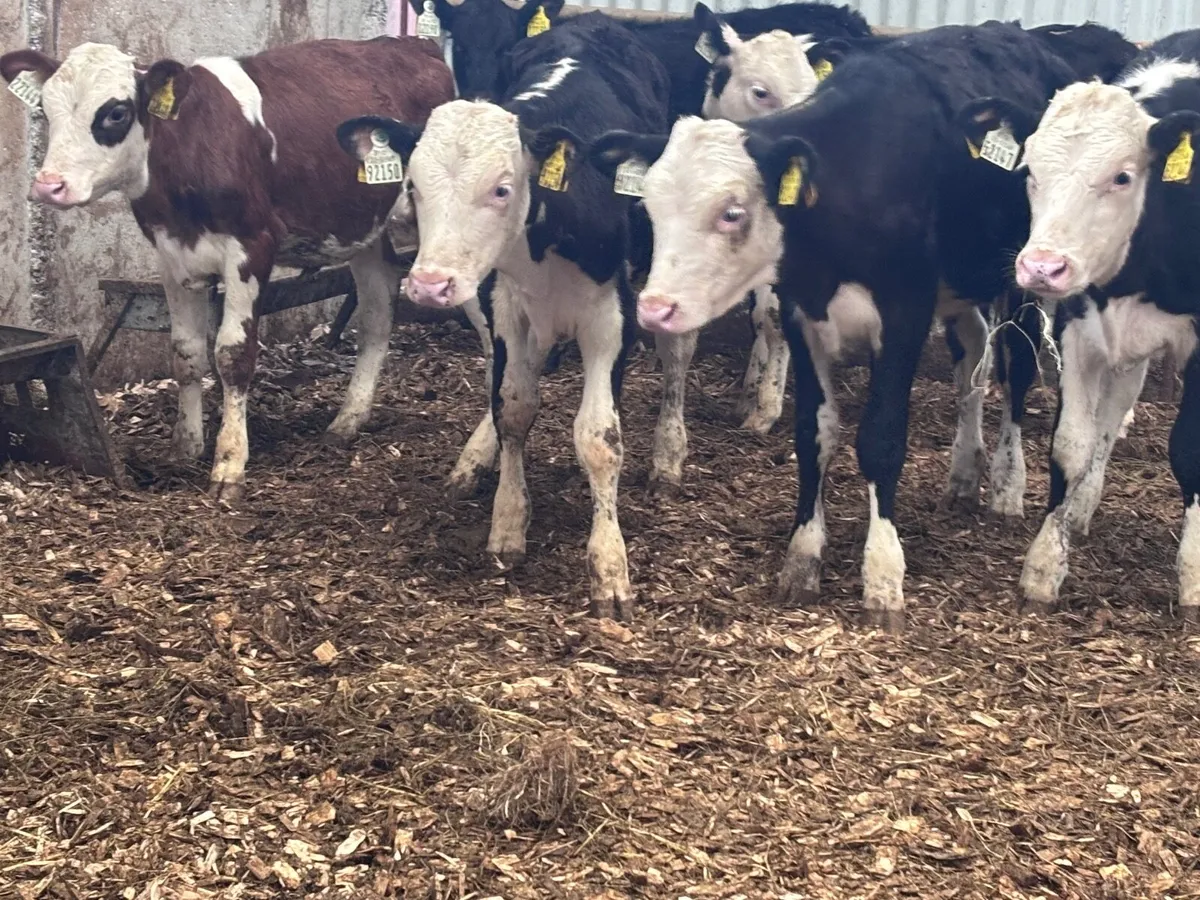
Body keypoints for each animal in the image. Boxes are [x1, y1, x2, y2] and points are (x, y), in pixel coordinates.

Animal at [0, 38, 490, 503]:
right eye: (46, 108)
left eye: (116, 112)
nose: (49, 186)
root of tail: (414, 45)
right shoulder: (171, 256)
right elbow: (185, 353)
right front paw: (186, 445)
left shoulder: (250, 249)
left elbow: (232, 355)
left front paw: (229, 463)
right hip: (365, 229)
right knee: (377, 312)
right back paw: (348, 420)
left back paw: (476, 458)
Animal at [338, 13, 671, 619]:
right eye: (412, 185)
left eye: (501, 188)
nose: (429, 284)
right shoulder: (504, 304)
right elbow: (512, 408)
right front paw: (508, 524)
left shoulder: (612, 316)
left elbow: (599, 436)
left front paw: (609, 565)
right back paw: (474, 458)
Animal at [590, 22, 1118, 631]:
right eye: (650, 206)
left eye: (732, 211)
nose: (656, 308)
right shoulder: (802, 314)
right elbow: (814, 435)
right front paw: (802, 557)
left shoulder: (905, 314)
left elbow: (881, 440)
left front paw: (883, 578)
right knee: (971, 365)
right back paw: (964, 472)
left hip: (1027, 278)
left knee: (1018, 368)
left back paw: (1007, 485)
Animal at [1003, 31, 1200, 620]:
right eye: (1030, 173)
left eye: (1122, 176)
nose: (1041, 267)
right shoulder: (1079, 326)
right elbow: (1072, 443)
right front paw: (1045, 563)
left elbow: (1190, 449)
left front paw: (1194, 575)